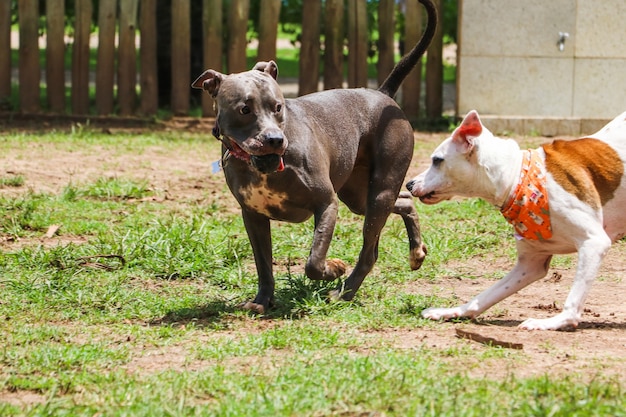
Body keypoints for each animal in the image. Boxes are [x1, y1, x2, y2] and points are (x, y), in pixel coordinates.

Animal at [190, 0, 434, 312]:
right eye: (245, 109)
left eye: (278, 106)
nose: (274, 139)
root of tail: (383, 94)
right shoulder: (253, 217)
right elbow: (263, 265)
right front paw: (262, 301)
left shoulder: (326, 203)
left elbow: (313, 262)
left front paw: (335, 267)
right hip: (360, 198)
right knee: (404, 202)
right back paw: (416, 251)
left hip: (378, 191)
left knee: (369, 252)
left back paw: (344, 292)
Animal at [404, 109, 624, 330]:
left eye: (437, 160)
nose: (409, 184)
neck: (518, 178)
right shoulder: (531, 264)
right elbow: (483, 298)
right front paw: (450, 312)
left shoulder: (594, 242)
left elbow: (573, 304)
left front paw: (551, 322)